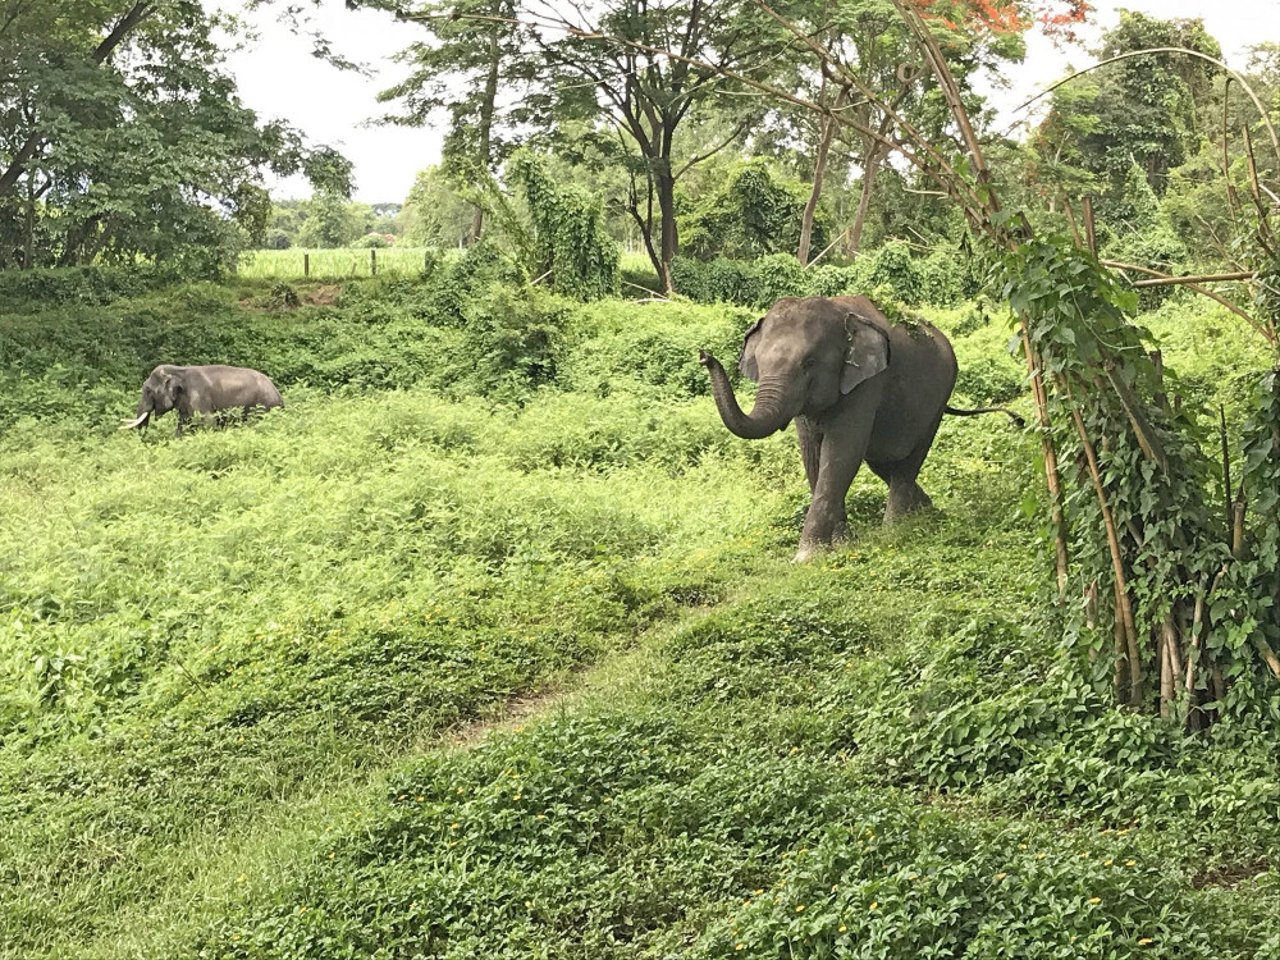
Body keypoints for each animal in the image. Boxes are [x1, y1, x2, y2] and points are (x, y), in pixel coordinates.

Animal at [120, 363, 285, 440]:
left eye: (148, 390)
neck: (179, 370)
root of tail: (279, 395)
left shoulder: (199, 397)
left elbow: (208, 422)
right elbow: (183, 426)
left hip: (263, 407)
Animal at [701, 293, 1018, 563]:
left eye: (808, 363)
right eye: (759, 362)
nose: (705, 356)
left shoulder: (867, 384)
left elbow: (841, 453)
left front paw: (806, 557)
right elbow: (813, 454)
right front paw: (841, 544)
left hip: (938, 398)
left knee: (907, 462)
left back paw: (895, 530)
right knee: (883, 464)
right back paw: (929, 515)